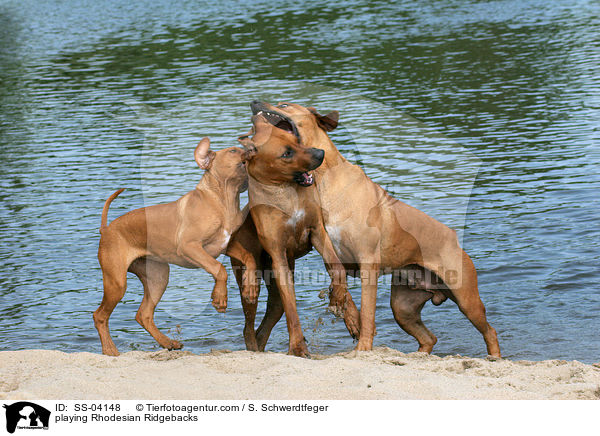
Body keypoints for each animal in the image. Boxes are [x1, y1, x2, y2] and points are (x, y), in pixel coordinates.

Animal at [92, 138, 247, 356]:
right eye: (233, 151)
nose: (252, 147)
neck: (221, 200)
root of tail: (106, 229)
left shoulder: (227, 246)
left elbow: (239, 261)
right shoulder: (190, 247)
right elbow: (219, 269)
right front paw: (219, 298)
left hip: (158, 277)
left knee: (143, 315)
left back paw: (167, 343)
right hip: (117, 282)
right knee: (100, 316)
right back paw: (110, 350)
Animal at [245, 102, 502, 358]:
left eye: (283, 105)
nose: (255, 103)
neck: (324, 179)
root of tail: (455, 241)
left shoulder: (367, 262)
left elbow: (368, 314)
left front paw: (362, 347)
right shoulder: (332, 255)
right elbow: (344, 289)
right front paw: (347, 314)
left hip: (467, 299)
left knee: (490, 331)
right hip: (403, 307)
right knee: (429, 338)